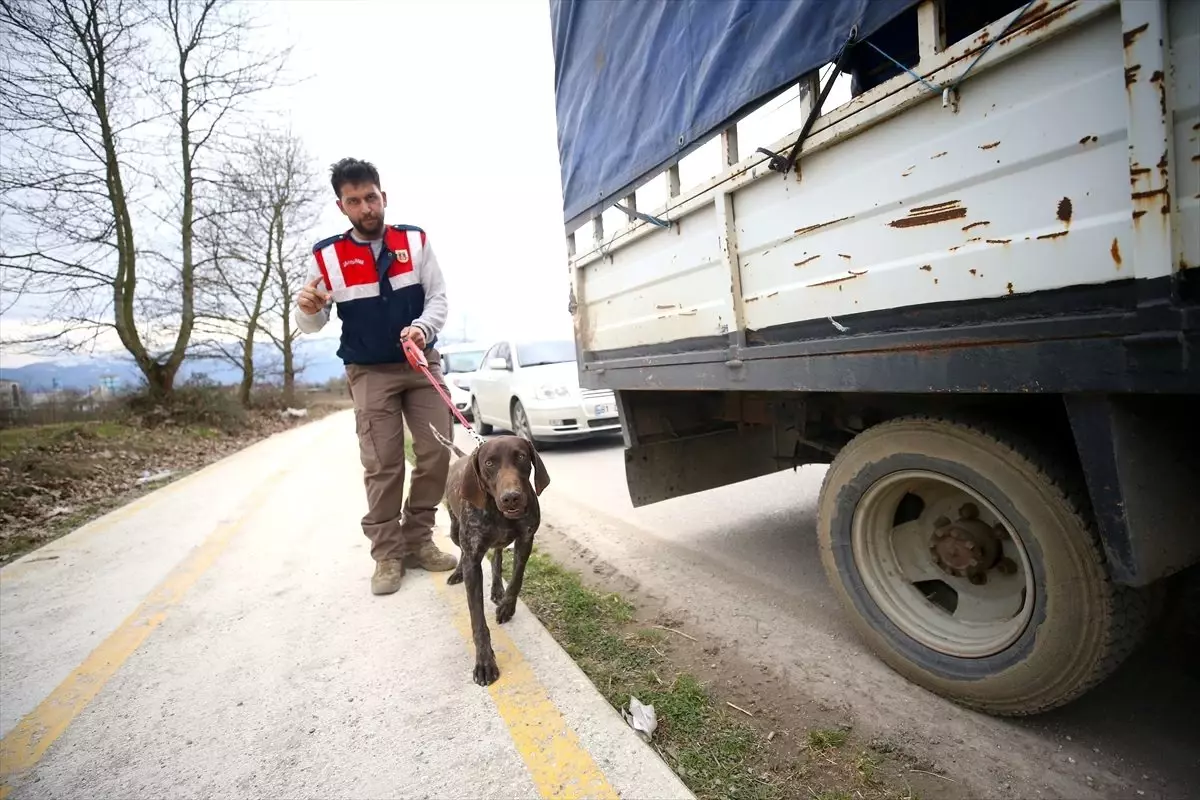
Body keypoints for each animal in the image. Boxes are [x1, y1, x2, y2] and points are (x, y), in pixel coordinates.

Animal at [429, 424, 549, 690]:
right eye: (489, 463)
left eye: (521, 457)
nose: (511, 497)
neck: (497, 511)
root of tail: (462, 456)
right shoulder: (474, 560)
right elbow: (477, 621)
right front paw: (484, 662)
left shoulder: (526, 541)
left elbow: (516, 580)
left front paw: (506, 606)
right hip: (455, 531)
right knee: (463, 553)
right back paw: (457, 573)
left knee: (496, 558)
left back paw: (496, 589)